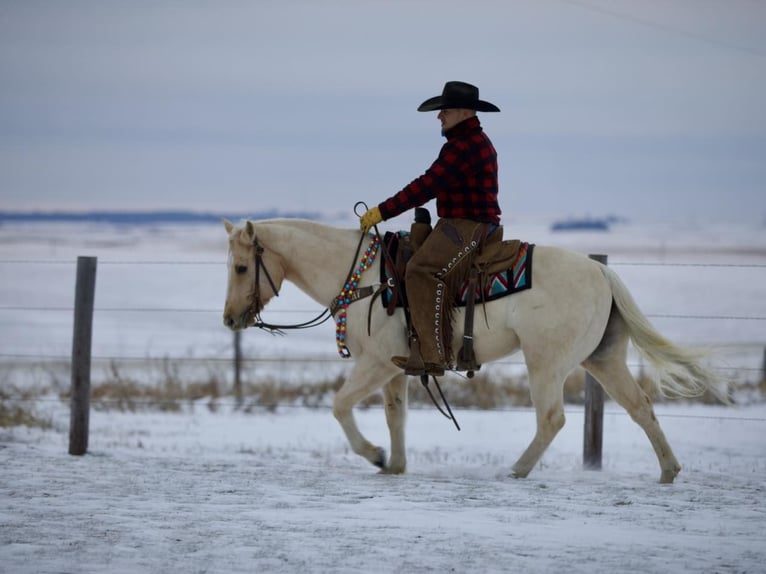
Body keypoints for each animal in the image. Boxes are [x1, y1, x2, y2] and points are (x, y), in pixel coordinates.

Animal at [220, 218, 728, 484]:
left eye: (242, 267)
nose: (229, 319)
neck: (366, 280)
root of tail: (601, 272)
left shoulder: (375, 363)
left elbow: (340, 405)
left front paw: (375, 455)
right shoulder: (395, 369)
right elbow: (395, 415)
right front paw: (395, 465)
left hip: (545, 363)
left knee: (552, 419)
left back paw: (517, 469)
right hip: (601, 359)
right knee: (641, 407)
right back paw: (669, 470)